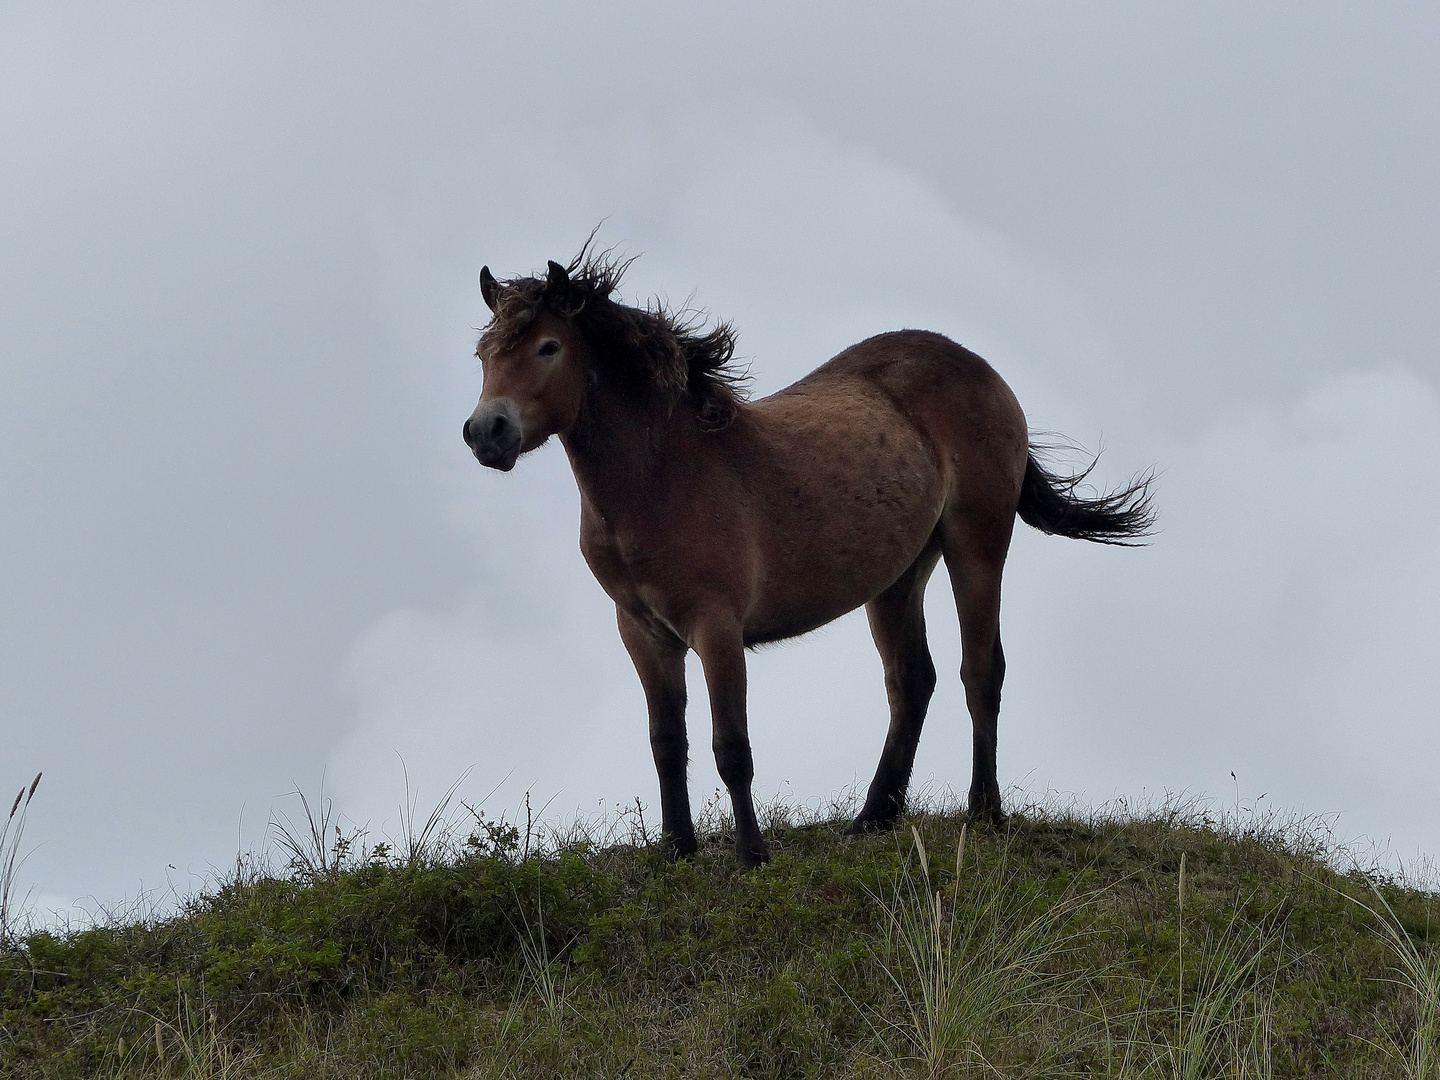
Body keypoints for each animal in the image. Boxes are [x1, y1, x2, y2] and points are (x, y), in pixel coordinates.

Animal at [466, 247, 1152, 869]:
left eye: (548, 347)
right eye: (483, 354)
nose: (485, 433)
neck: (661, 477)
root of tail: (977, 366)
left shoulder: (716, 628)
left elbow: (731, 747)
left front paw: (751, 857)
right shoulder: (642, 632)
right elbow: (667, 743)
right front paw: (677, 852)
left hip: (977, 545)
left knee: (980, 672)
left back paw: (984, 812)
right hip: (897, 577)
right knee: (912, 681)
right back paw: (874, 818)